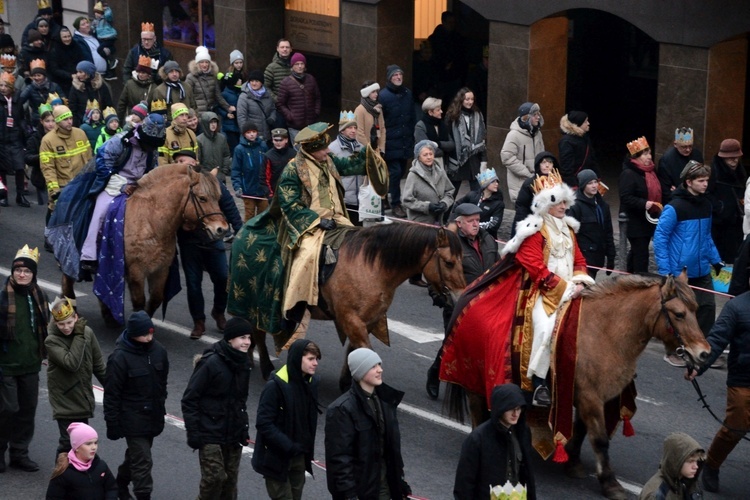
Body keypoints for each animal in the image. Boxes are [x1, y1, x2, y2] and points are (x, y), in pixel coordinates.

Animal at [61, 162, 228, 322]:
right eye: (202, 198)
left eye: (218, 197)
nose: (222, 229)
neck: (151, 222)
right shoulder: (136, 271)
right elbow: (139, 301)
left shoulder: (161, 270)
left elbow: (155, 299)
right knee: (67, 280)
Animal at [250, 223, 468, 390]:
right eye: (449, 263)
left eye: (461, 261)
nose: (460, 295)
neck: (373, 267)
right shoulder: (351, 320)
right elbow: (366, 351)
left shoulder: (367, 321)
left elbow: (355, 351)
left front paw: (347, 382)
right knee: (258, 332)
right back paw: (266, 366)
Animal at [446, 272, 712, 498]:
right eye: (679, 314)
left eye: (696, 310)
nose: (704, 354)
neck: (605, 332)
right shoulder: (590, 397)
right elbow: (600, 439)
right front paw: (609, 482)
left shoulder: (593, 396)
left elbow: (582, 429)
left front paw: (573, 461)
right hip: (475, 384)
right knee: (479, 416)